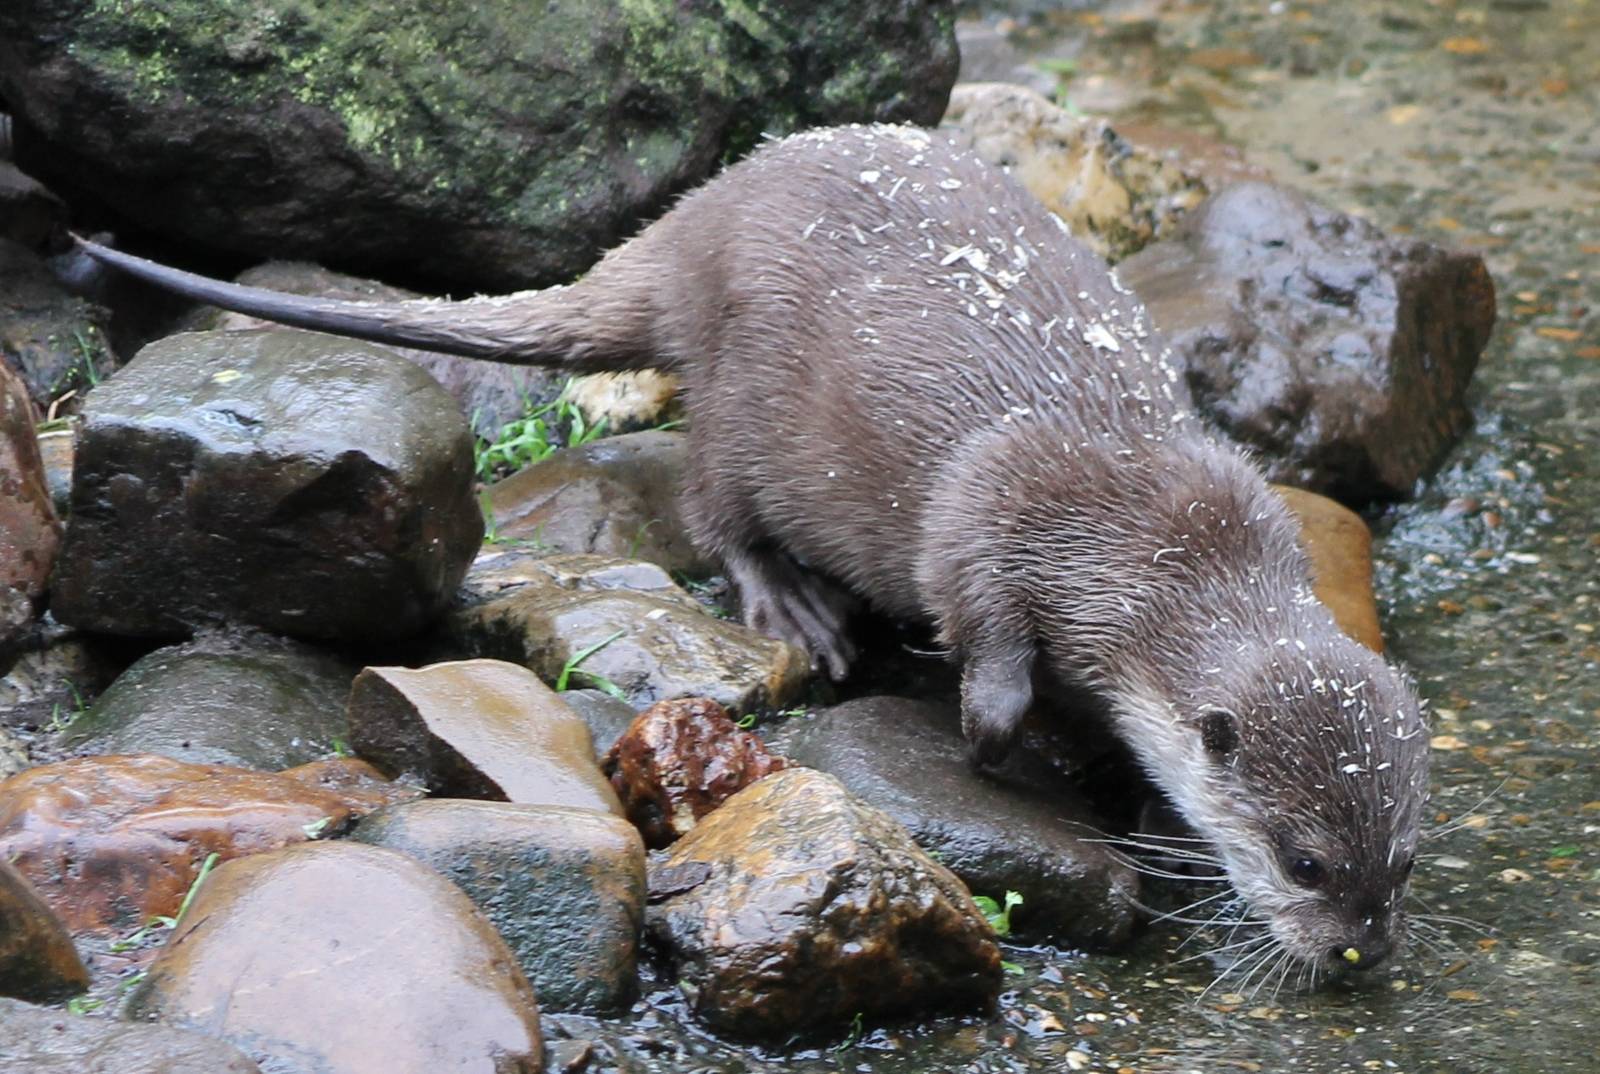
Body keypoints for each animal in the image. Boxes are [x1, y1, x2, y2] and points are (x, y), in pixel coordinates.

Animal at [75, 123, 1429, 984]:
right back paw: (791, 605)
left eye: (1398, 863)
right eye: (1305, 862)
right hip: (742, 390)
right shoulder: (1006, 506)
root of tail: (694, 218)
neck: (1159, 554)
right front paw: (1002, 734)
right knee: (711, 491)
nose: (1358, 947)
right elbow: (975, 606)